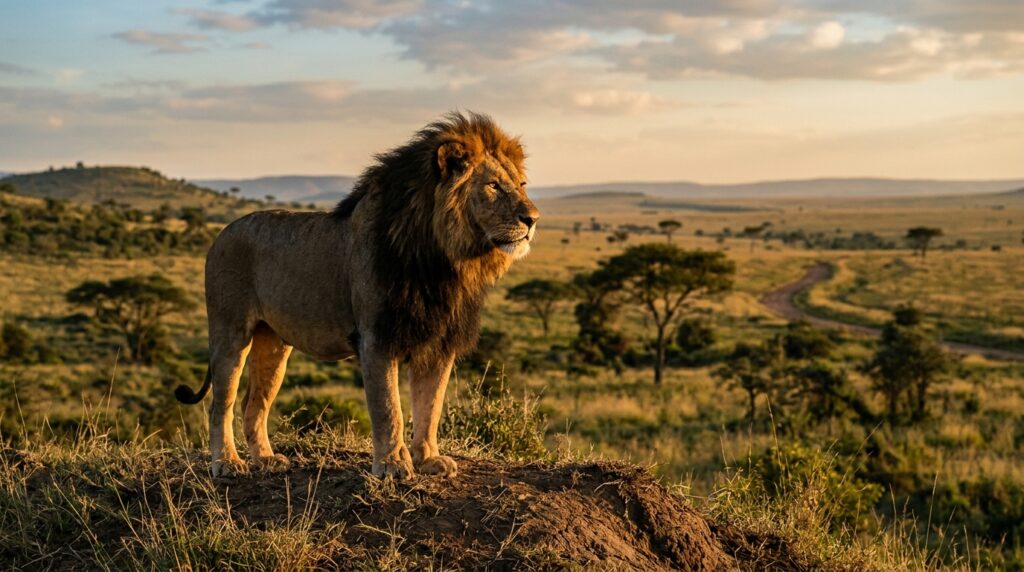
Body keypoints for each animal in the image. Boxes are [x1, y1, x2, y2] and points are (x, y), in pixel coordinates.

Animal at [175, 112, 539, 479]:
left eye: (522, 185)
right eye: (493, 186)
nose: (533, 219)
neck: (444, 261)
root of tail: (221, 234)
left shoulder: (438, 342)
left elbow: (430, 406)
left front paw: (427, 459)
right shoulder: (377, 337)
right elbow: (388, 408)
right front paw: (393, 465)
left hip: (273, 344)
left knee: (254, 402)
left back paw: (265, 459)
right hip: (231, 331)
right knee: (221, 404)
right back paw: (227, 462)